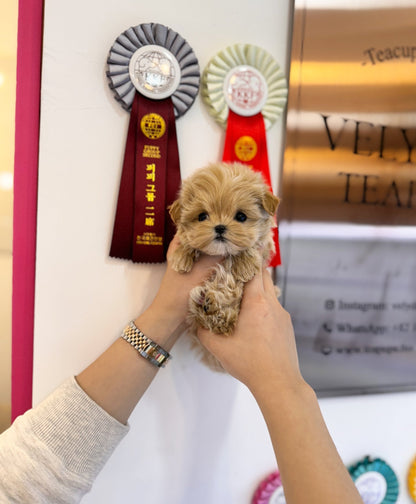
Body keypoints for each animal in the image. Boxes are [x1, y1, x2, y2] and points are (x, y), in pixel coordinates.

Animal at [169, 162, 280, 370]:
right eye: (202, 216)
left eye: (241, 216)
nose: (220, 227)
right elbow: (186, 241)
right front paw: (181, 256)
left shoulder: (266, 245)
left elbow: (251, 246)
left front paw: (244, 265)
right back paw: (206, 303)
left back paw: (212, 304)